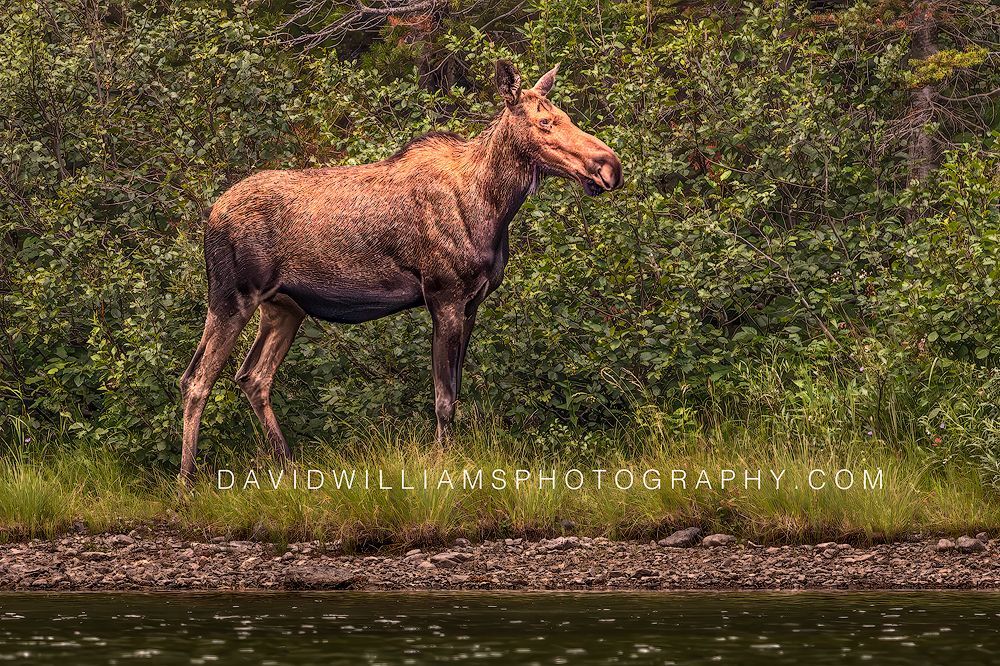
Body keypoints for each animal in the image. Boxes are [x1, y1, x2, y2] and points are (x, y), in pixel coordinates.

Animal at [178, 60, 623, 483]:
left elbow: (455, 394)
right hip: (230, 296)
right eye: (544, 122)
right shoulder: (444, 295)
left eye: (565, 115)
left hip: (284, 307)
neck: (493, 207)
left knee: (252, 376)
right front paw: (444, 463)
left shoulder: (472, 303)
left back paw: (287, 464)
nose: (609, 166)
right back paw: (187, 480)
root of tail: (210, 217)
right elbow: (443, 400)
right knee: (196, 379)